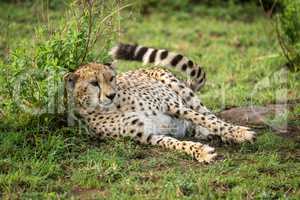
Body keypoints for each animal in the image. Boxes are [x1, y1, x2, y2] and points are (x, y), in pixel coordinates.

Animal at [63, 43, 255, 162]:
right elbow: (174, 143)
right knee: (197, 126)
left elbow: (210, 121)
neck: (114, 107)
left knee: (209, 115)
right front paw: (201, 152)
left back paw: (227, 135)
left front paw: (240, 133)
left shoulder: (172, 105)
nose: (111, 95)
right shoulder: (147, 135)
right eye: (94, 83)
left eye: (111, 78)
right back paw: (208, 135)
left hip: (178, 89)